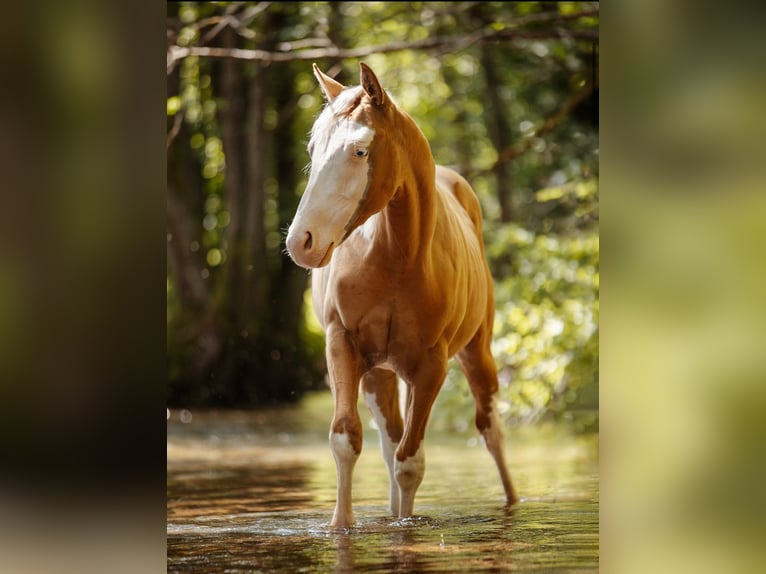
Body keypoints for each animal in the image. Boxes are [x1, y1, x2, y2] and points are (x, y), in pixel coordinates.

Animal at [285, 62, 519, 527]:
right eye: (314, 148)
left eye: (360, 151)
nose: (301, 241)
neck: (395, 258)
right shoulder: (343, 346)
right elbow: (347, 440)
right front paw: (341, 525)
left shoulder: (430, 366)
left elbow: (411, 462)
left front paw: (403, 525)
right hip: (380, 374)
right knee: (388, 442)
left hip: (475, 353)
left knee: (490, 429)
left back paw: (511, 501)